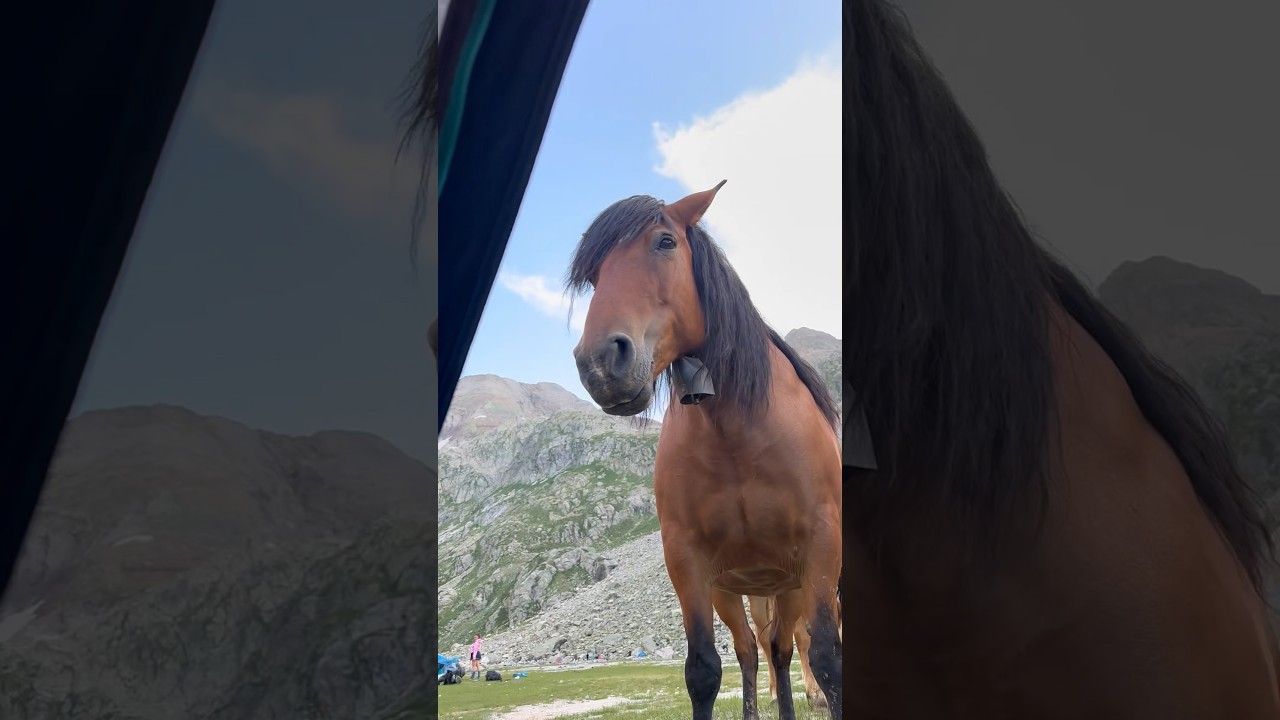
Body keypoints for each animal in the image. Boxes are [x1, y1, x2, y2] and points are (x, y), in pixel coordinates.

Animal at [568, 184, 843, 720]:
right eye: (594, 275)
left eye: (665, 242)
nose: (599, 364)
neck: (738, 436)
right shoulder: (687, 560)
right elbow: (703, 670)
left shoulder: (820, 550)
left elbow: (826, 657)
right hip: (733, 591)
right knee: (755, 651)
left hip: (789, 585)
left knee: (783, 649)